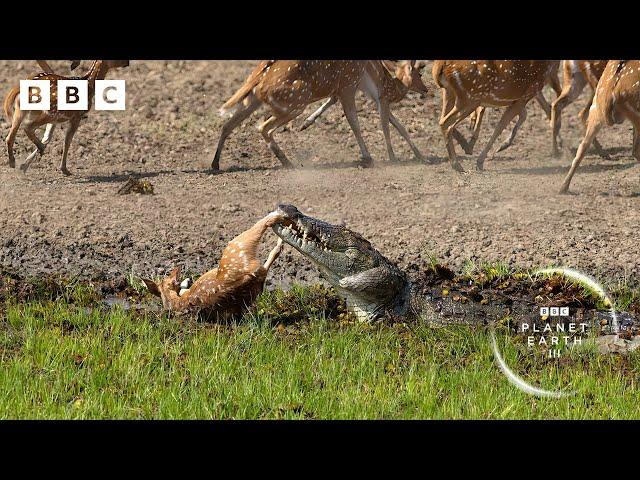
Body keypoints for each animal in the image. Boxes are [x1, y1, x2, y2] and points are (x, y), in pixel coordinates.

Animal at [215, 59, 376, 170]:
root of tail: (258, 80)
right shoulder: (349, 83)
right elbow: (354, 122)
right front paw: (368, 158)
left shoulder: (342, 87)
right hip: (297, 101)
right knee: (263, 127)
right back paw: (288, 163)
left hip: (252, 100)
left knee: (228, 125)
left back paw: (215, 164)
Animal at [296, 61, 430, 162]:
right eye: (420, 74)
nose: (426, 89)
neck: (393, 90)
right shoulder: (382, 100)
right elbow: (385, 127)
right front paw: (393, 158)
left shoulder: (379, 101)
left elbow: (400, 127)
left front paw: (422, 157)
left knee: (333, 97)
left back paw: (305, 124)